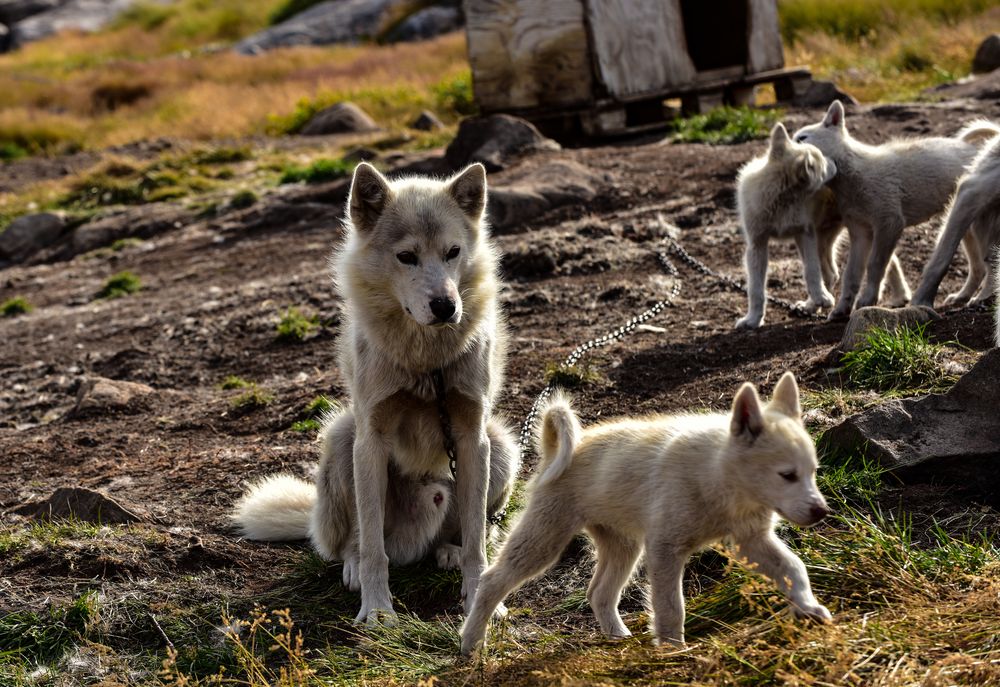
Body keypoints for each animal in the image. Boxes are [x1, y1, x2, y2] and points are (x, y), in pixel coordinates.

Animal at [462, 370, 836, 656]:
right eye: (787, 475)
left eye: (813, 472)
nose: (821, 511)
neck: (717, 475)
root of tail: (561, 448)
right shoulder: (665, 549)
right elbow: (671, 606)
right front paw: (673, 650)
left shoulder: (752, 540)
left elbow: (794, 568)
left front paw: (809, 607)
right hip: (545, 537)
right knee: (492, 580)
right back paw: (471, 642)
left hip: (623, 545)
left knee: (599, 593)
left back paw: (617, 636)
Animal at [732, 123, 912, 330]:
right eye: (822, 166)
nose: (835, 163)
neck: (784, 199)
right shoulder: (757, 244)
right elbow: (756, 289)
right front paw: (752, 320)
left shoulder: (805, 234)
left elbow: (811, 270)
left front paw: (822, 297)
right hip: (829, 235)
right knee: (834, 272)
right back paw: (812, 305)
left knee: (883, 261)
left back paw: (900, 295)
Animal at [792, 101, 988, 320]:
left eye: (802, 138)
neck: (854, 173)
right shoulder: (860, 231)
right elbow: (851, 274)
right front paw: (842, 308)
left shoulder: (889, 223)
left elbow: (876, 265)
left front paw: (868, 299)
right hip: (966, 224)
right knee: (979, 267)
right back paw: (963, 296)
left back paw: (982, 298)